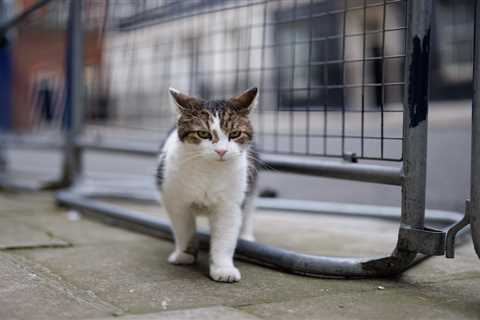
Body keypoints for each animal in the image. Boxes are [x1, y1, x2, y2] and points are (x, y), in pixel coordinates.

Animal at [157, 87, 258, 282]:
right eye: (203, 134)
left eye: (235, 134)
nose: (221, 151)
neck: (209, 170)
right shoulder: (176, 201)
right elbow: (184, 230)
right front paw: (184, 255)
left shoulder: (229, 205)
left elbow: (225, 238)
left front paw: (223, 269)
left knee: (249, 209)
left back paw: (247, 236)